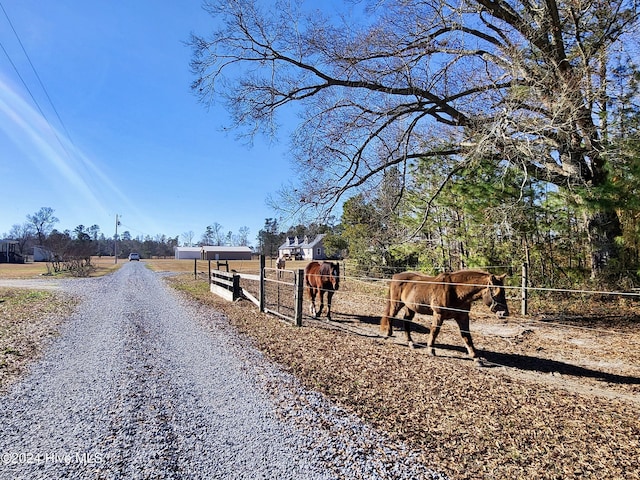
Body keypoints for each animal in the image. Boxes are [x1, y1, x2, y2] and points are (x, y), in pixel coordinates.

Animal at [380, 270, 510, 360]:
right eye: (497, 293)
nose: (505, 313)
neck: (455, 290)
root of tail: (396, 276)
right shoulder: (438, 314)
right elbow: (434, 331)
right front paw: (431, 350)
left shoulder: (462, 317)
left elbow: (466, 336)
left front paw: (475, 357)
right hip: (396, 303)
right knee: (390, 316)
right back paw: (388, 334)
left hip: (410, 307)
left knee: (406, 321)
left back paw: (410, 342)